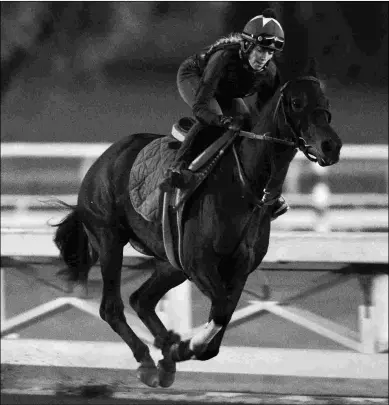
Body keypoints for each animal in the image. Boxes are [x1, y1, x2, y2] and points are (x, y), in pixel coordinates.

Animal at [53, 58, 342, 386]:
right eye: (296, 102)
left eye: (326, 102)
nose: (331, 146)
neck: (246, 186)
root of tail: (103, 160)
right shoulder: (200, 264)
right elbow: (220, 312)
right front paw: (183, 347)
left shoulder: (238, 267)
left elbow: (221, 321)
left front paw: (178, 348)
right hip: (109, 238)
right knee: (112, 308)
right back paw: (148, 361)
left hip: (171, 261)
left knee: (141, 299)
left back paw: (165, 353)